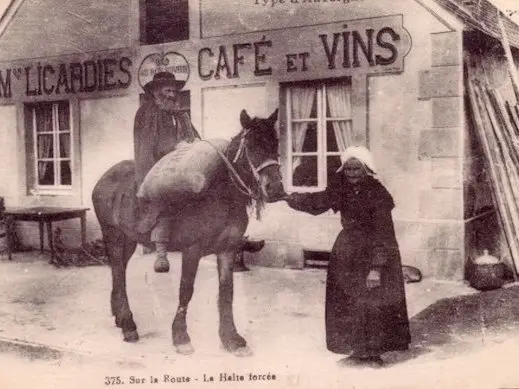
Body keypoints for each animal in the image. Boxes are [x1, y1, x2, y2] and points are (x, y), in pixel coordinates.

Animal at [89, 108, 284, 354]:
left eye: (275, 143)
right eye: (251, 145)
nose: (275, 188)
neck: (220, 196)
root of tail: (104, 178)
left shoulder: (228, 249)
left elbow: (226, 291)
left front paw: (231, 338)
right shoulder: (192, 250)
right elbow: (186, 289)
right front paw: (181, 336)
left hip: (129, 239)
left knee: (119, 271)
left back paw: (119, 316)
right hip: (113, 235)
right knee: (117, 272)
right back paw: (128, 324)